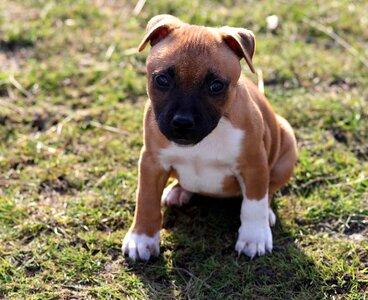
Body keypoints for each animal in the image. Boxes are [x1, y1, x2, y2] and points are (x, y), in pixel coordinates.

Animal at [122, 15, 298, 262]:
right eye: (162, 80)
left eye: (216, 86)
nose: (183, 122)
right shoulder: (151, 162)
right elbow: (146, 200)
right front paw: (142, 239)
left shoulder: (254, 164)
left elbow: (254, 202)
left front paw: (254, 237)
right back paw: (178, 191)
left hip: (286, 144)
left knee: (269, 189)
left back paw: (268, 214)